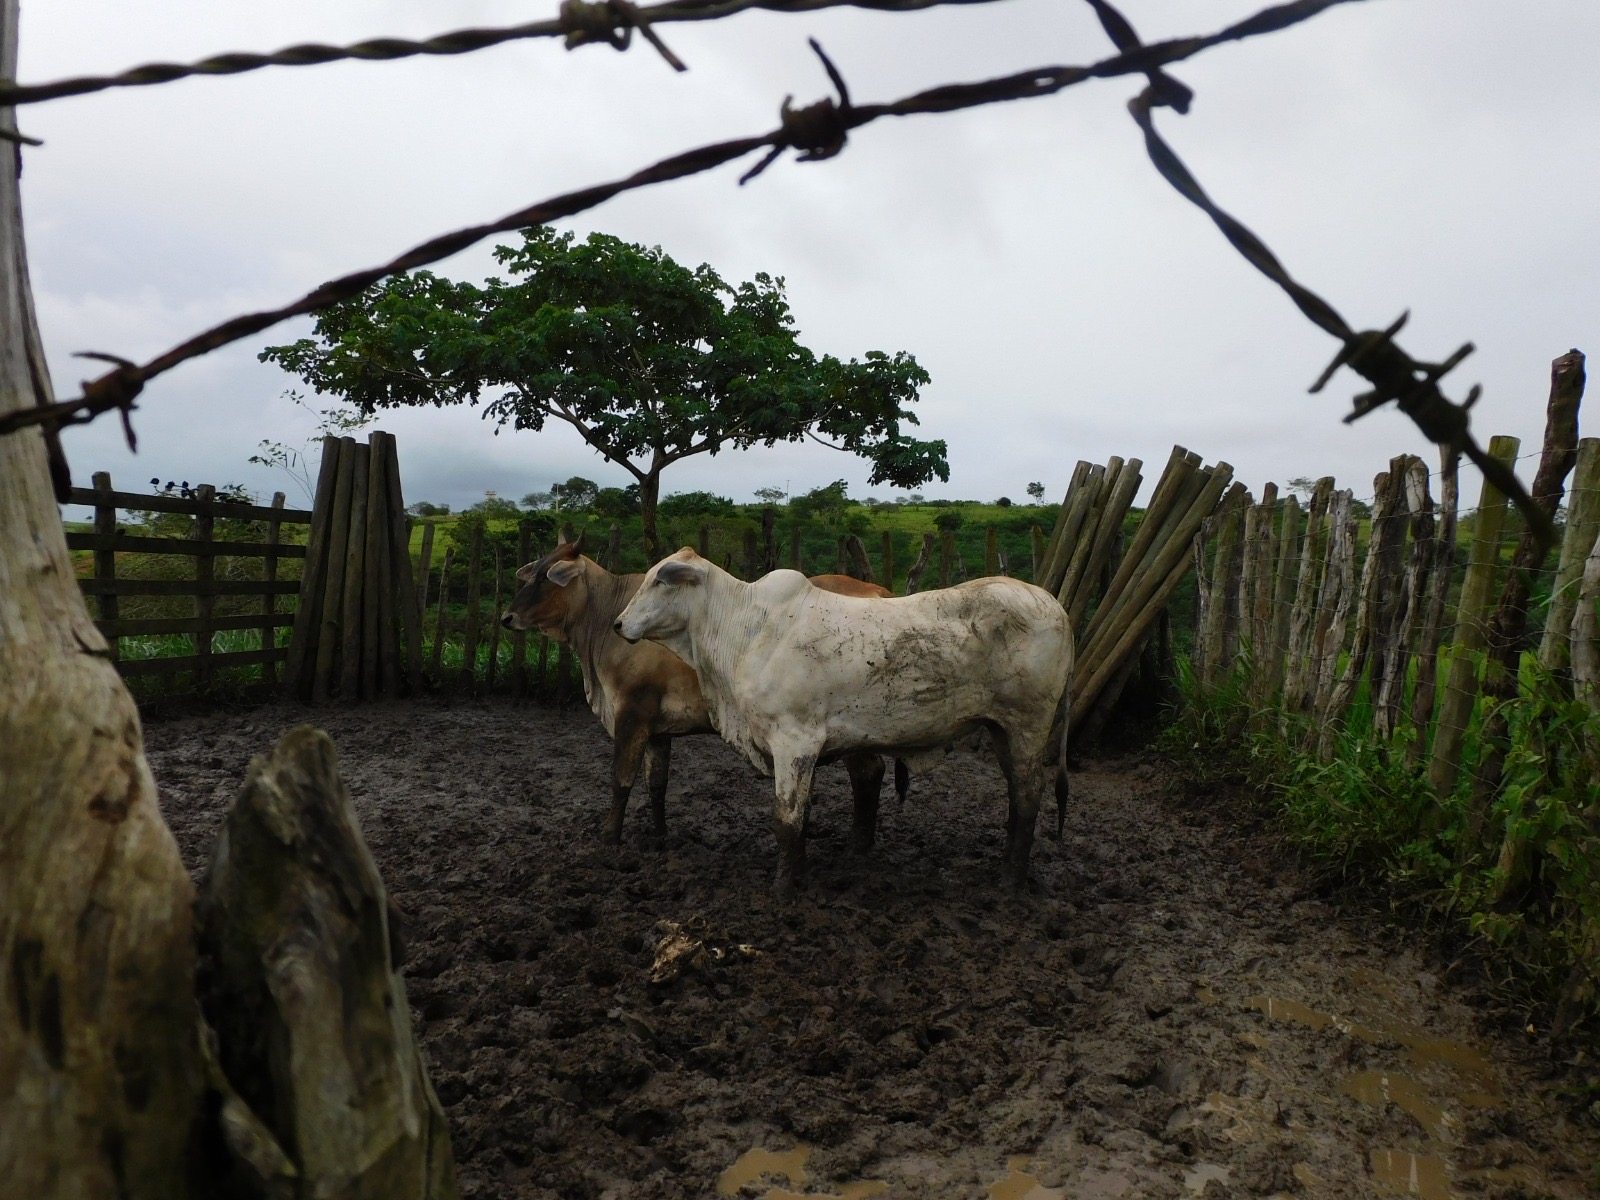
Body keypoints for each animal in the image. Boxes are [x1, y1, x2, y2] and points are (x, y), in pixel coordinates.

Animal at [499, 540, 908, 851]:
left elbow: (621, 779)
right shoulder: (657, 729)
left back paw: (858, 845)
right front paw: (659, 836)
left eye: (545, 578)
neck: (605, 621)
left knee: (869, 773)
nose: (507, 618)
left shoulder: (632, 712)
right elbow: (657, 784)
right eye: (532, 572)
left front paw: (609, 837)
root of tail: (880, 591)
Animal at [611, 550, 1075, 896]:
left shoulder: (793, 741)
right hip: (1001, 729)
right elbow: (802, 817)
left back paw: (1010, 881)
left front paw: (783, 888)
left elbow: (786, 819)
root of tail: (1057, 607)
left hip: (1027, 726)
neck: (745, 630)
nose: (617, 624)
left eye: (660, 582)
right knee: (1016, 795)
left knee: (1028, 795)